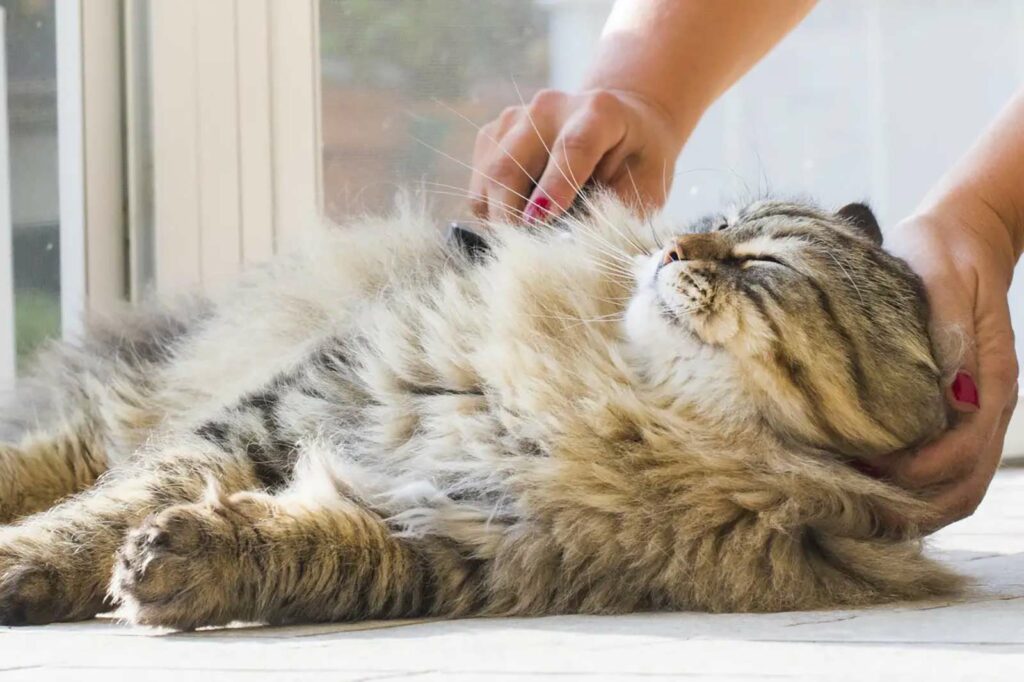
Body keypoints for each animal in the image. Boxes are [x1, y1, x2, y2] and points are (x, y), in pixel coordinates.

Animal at [0, 195, 958, 626]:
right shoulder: (276, 415)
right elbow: (100, 515)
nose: (670, 249)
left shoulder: (466, 542)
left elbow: (309, 553)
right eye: (716, 217)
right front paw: (32, 565)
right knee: (64, 456)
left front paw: (183, 564)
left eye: (764, 266)